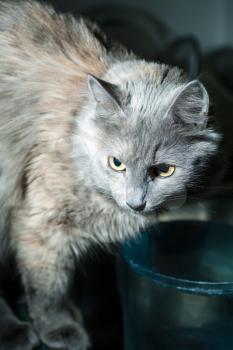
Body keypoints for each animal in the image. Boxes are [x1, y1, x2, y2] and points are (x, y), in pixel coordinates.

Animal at [0, 0, 221, 350]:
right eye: (117, 163)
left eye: (164, 170)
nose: (136, 203)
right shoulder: (39, 223)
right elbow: (48, 288)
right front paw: (60, 329)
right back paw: (15, 332)